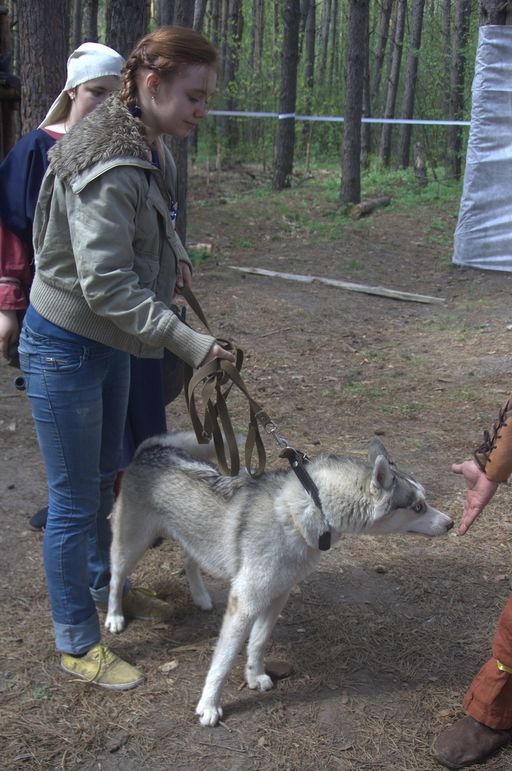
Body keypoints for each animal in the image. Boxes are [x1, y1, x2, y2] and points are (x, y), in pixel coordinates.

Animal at [105, 438, 452, 728]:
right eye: (418, 506)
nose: (450, 524)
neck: (309, 508)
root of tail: (152, 448)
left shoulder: (278, 595)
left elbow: (258, 642)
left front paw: (255, 675)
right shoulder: (245, 602)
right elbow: (223, 660)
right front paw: (209, 704)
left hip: (195, 538)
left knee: (188, 561)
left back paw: (201, 597)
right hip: (130, 546)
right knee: (115, 579)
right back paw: (114, 616)